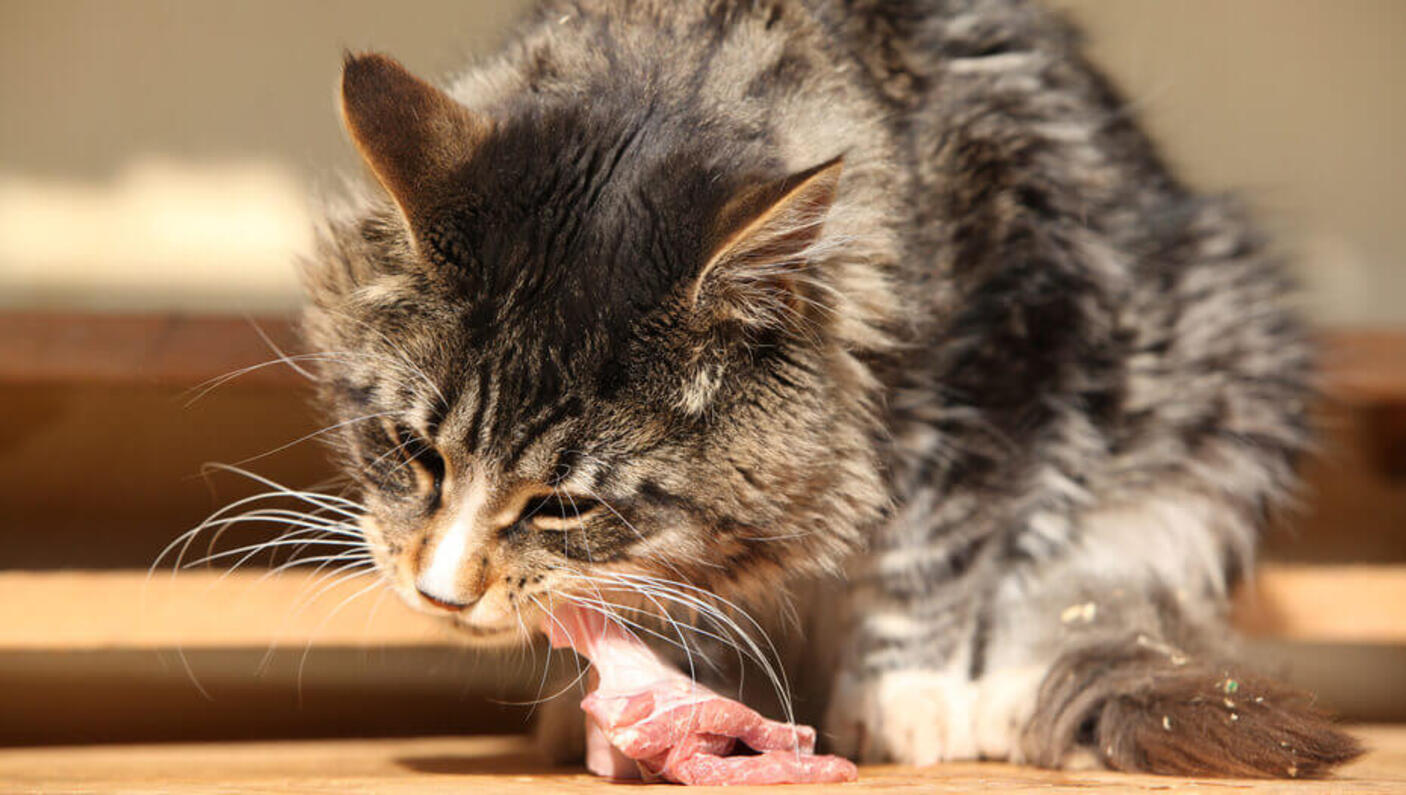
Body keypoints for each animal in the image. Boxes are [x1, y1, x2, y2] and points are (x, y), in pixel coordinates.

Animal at [296, 0, 1361, 776]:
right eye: (415, 452)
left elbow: (939, 552)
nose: (440, 594)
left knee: (1072, 604)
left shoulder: (1013, 351)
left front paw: (909, 699)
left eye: (562, 504)